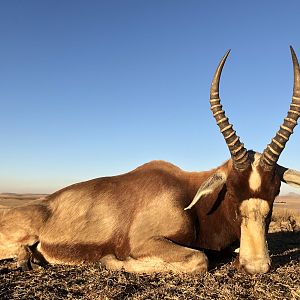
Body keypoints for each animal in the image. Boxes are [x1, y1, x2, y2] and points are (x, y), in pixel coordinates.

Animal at [0, 47, 300, 274]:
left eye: (275, 191)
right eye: (233, 191)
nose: (256, 266)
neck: (189, 197)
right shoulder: (147, 242)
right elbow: (198, 259)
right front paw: (109, 260)